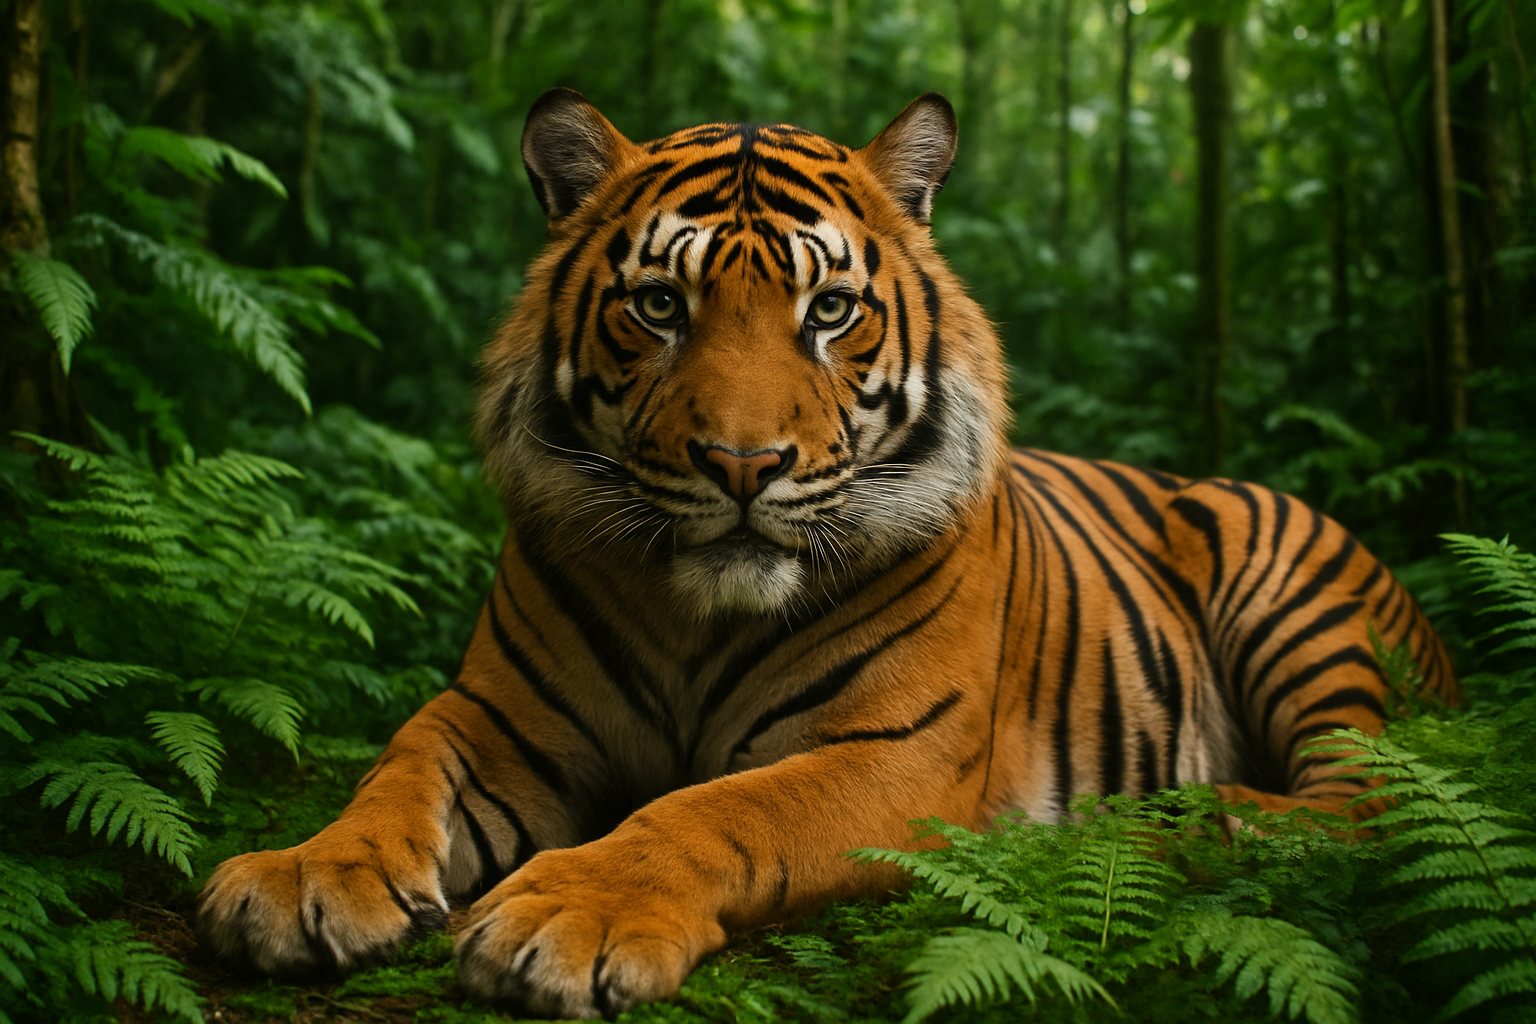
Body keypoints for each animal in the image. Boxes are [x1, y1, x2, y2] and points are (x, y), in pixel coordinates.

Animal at [197, 89, 1457, 1017]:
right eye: (660, 305)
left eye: (832, 311)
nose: (743, 463)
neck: (695, 614)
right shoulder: (502, 714)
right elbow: (402, 761)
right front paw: (305, 874)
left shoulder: (897, 754)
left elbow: (711, 810)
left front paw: (570, 914)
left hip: (1278, 578)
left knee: (1371, 796)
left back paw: (1203, 818)